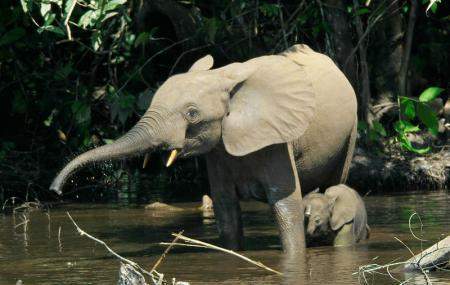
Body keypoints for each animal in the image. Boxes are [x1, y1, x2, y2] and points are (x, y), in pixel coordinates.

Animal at [50, 43, 358, 253]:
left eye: (192, 114)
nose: (55, 191)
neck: (223, 78)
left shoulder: (276, 140)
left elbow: (285, 205)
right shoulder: (218, 150)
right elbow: (225, 209)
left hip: (351, 131)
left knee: (334, 184)